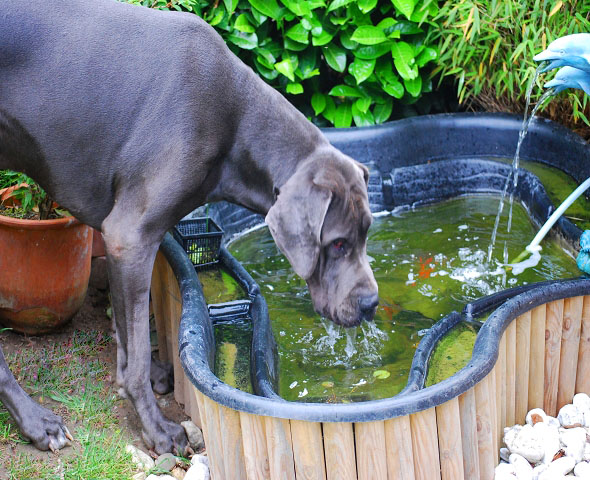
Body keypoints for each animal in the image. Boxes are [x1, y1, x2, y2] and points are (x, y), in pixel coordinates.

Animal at [0, 0, 380, 454]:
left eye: (366, 234)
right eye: (337, 244)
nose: (371, 304)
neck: (236, 125)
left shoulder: (120, 242)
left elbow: (128, 335)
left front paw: (147, 376)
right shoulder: (130, 236)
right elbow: (134, 354)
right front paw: (158, 430)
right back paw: (37, 422)